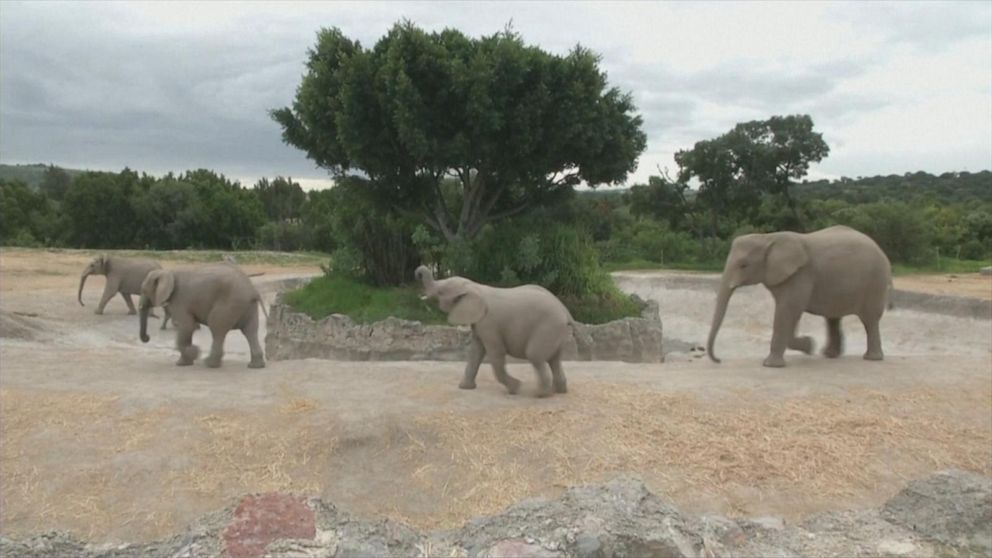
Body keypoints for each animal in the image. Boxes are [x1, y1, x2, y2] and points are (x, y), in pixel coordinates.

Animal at [138, 264, 268, 370]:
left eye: (144, 290)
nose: (147, 337)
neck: (166, 272)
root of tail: (253, 291)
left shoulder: (179, 300)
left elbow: (186, 326)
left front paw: (195, 353)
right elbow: (188, 328)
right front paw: (184, 362)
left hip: (229, 304)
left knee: (217, 328)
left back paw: (209, 364)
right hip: (249, 307)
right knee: (250, 331)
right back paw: (255, 366)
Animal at [414, 266, 572, 398]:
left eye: (441, 292)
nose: (417, 273)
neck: (474, 286)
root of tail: (566, 312)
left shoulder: (489, 324)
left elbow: (495, 354)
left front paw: (515, 388)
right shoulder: (479, 323)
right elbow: (476, 352)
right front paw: (465, 388)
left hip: (547, 327)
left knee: (535, 356)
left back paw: (539, 394)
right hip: (556, 331)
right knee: (554, 359)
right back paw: (557, 391)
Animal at [704, 225, 892, 370]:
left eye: (743, 265)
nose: (719, 360)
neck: (768, 238)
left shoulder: (800, 275)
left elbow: (788, 311)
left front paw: (773, 364)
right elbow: (790, 313)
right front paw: (809, 346)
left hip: (875, 281)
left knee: (869, 320)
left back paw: (871, 359)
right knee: (833, 318)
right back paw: (829, 355)